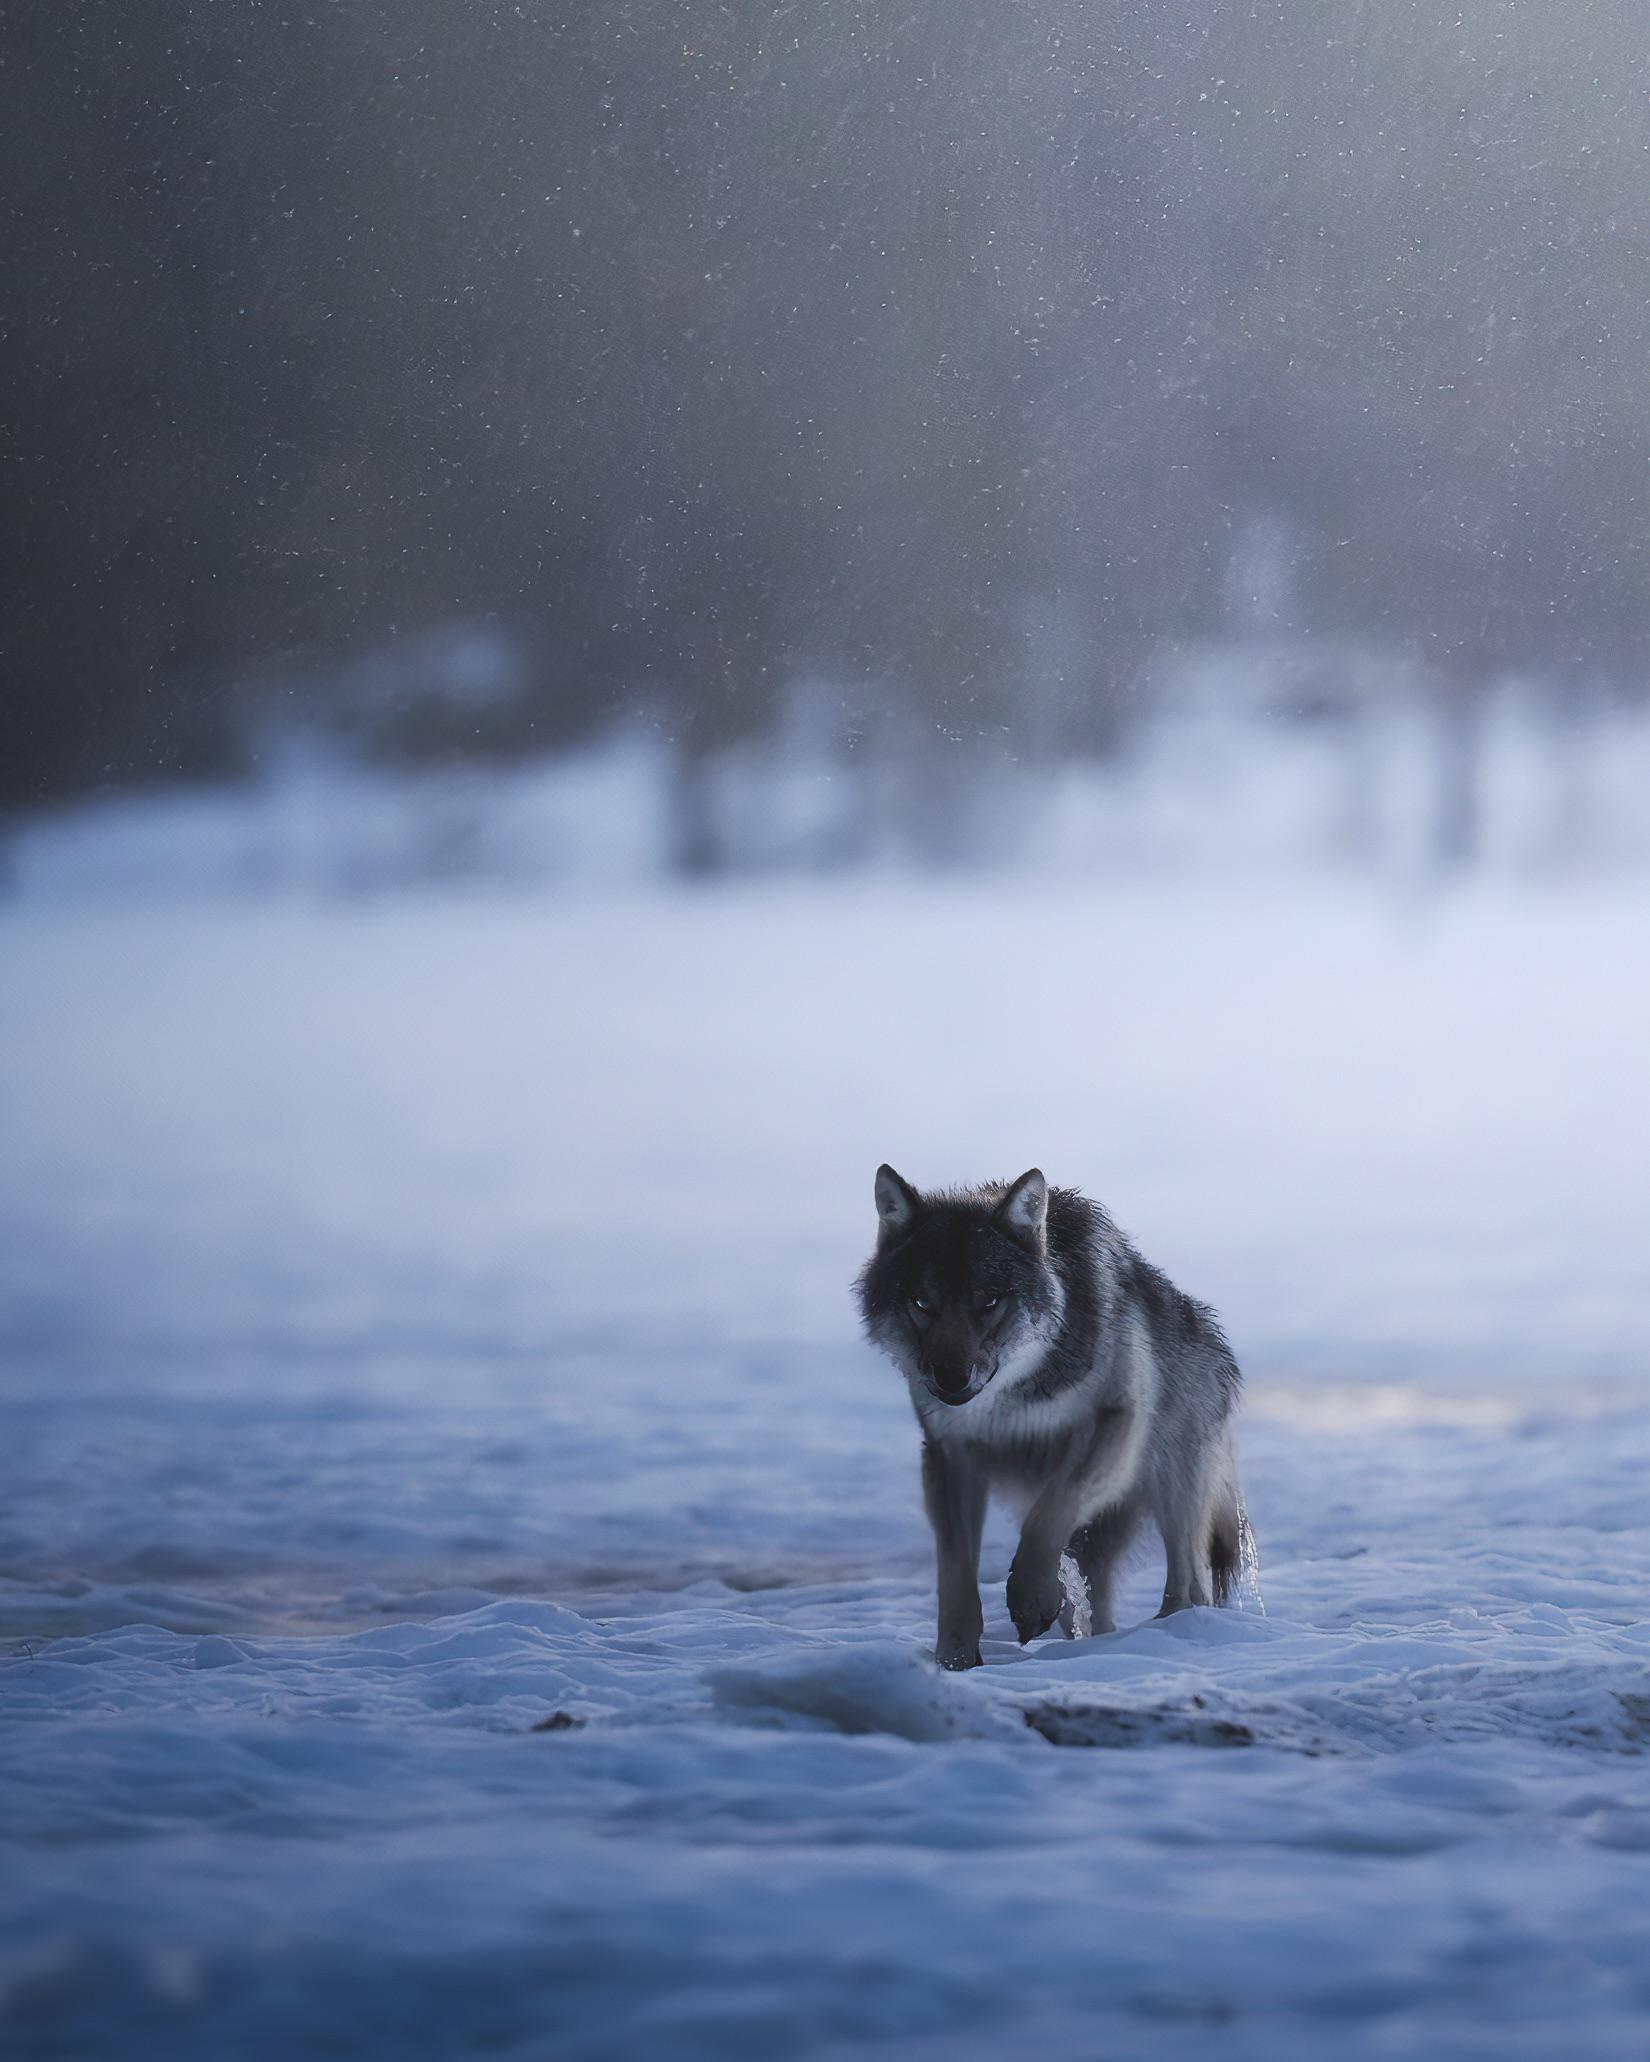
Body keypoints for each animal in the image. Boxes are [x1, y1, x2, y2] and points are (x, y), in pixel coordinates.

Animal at [856, 1165, 1248, 1670]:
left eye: (990, 1301)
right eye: (922, 1304)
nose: (950, 1378)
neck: (1010, 1402)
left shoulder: (1116, 1424)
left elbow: (1048, 1516)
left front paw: (1030, 1601)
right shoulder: (949, 1456)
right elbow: (956, 1572)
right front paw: (956, 1660)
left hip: (1171, 1481)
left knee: (1188, 1584)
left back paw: (1166, 1637)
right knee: (1099, 1601)